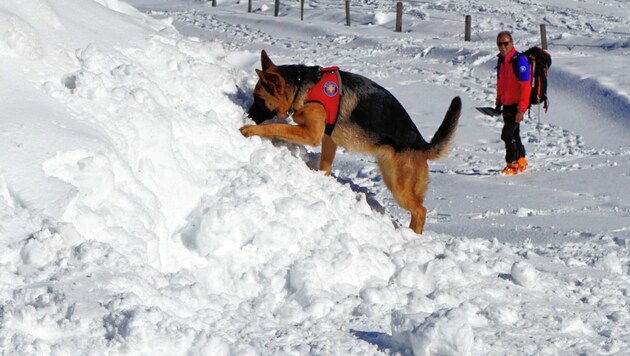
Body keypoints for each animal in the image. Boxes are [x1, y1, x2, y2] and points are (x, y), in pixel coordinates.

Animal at [242, 50, 464, 234]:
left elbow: (275, 127)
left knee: (421, 211)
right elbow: (325, 166)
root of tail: (421, 143)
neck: (300, 85)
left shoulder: (312, 134)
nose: (246, 115)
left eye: (258, 98)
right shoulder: (328, 139)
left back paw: (412, 236)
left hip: (399, 186)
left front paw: (249, 130)